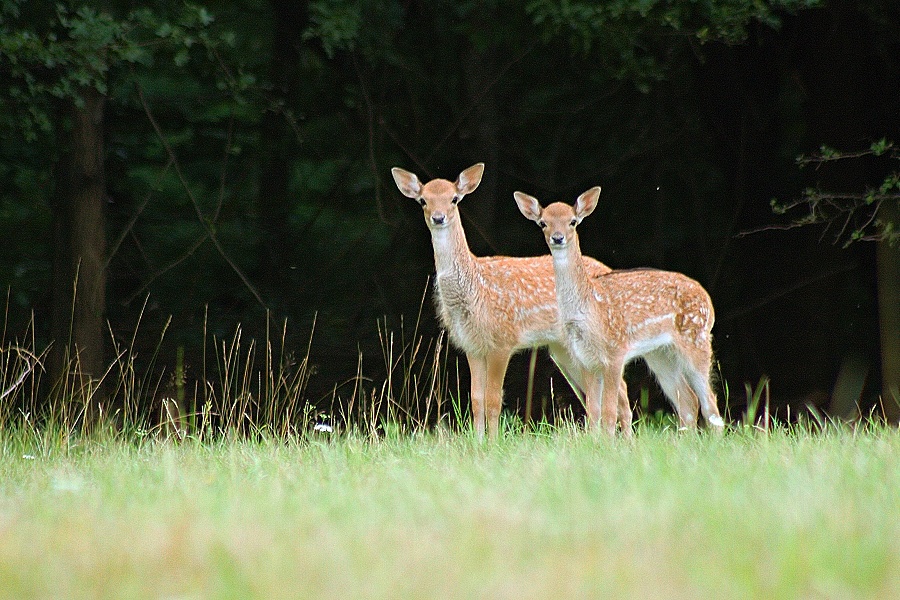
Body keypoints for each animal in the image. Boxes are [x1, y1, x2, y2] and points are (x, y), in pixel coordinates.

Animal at [390, 164, 628, 440]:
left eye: (454, 198)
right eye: (423, 200)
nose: (438, 218)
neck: (475, 289)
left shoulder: (502, 341)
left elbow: (494, 399)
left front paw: (493, 442)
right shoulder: (472, 345)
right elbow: (476, 399)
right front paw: (478, 441)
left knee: (620, 389)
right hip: (563, 349)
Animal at [512, 188, 724, 436]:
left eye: (572, 221)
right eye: (543, 223)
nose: (557, 237)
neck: (588, 310)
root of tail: (707, 300)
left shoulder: (615, 354)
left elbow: (609, 413)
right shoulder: (586, 360)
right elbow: (593, 413)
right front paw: (594, 441)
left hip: (696, 339)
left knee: (710, 404)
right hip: (660, 353)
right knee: (688, 401)